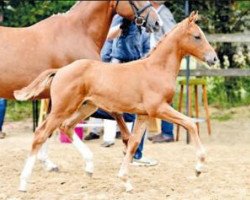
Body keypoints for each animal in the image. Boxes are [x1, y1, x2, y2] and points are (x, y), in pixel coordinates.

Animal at [0, 0, 159, 174]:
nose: (156, 22)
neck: (79, 32)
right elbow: (116, 113)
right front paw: (126, 143)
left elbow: (50, 129)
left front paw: (48, 163)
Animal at [16, 11, 219, 191]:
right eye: (197, 36)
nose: (214, 58)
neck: (156, 69)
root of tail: (60, 70)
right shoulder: (159, 108)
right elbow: (190, 123)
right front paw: (199, 167)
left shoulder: (144, 115)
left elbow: (133, 143)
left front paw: (125, 181)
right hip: (62, 108)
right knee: (41, 133)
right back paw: (24, 183)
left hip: (86, 107)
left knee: (66, 126)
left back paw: (89, 167)